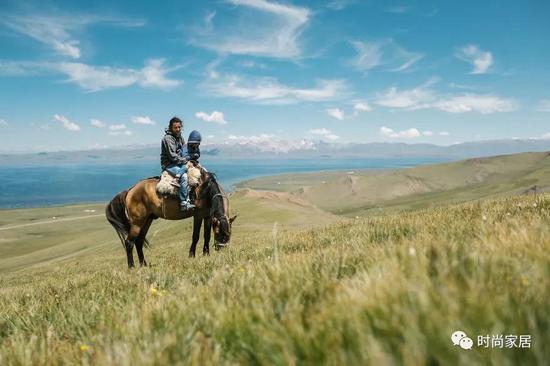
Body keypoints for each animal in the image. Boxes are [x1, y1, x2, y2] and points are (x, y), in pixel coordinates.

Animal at [106, 170, 238, 268]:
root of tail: (130, 190)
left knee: (139, 241)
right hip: (137, 223)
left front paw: (206, 254)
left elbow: (207, 235)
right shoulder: (198, 215)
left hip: (147, 220)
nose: (222, 249)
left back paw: (144, 265)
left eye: (230, 233)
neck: (206, 190)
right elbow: (196, 236)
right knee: (129, 242)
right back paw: (131, 266)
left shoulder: (208, 216)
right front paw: (191, 255)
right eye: (219, 232)